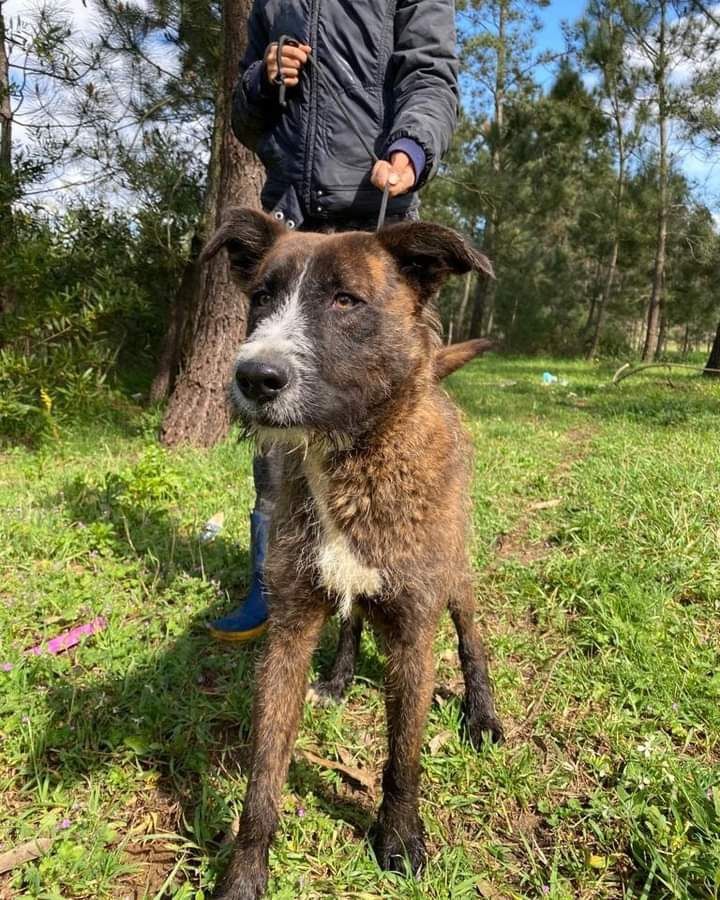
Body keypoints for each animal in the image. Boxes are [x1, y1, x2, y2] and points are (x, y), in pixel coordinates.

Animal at [202, 209, 506, 900]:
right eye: (261, 296)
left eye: (346, 301)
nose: (253, 377)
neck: (351, 455)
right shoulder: (288, 631)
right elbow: (264, 776)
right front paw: (245, 872)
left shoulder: (414, 632)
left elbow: (403, 759)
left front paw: (398, 840)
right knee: (351, 619)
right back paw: (340, 678)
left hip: (455, 570)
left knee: (470, 635)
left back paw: (481, 714)